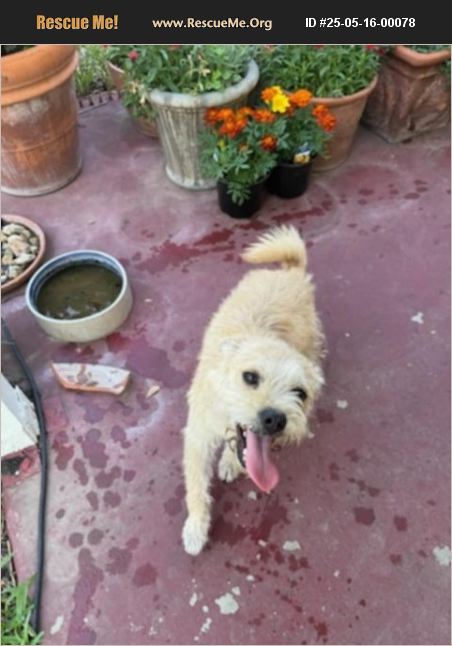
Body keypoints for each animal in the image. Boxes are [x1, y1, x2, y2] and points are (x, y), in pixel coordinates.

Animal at [182, 225, 325, 555]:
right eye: (249, 377)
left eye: (300, 393)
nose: (275, 419)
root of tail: (290, 272)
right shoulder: (197, 437)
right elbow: (195, 487)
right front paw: (196, 527)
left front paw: (230, 462)